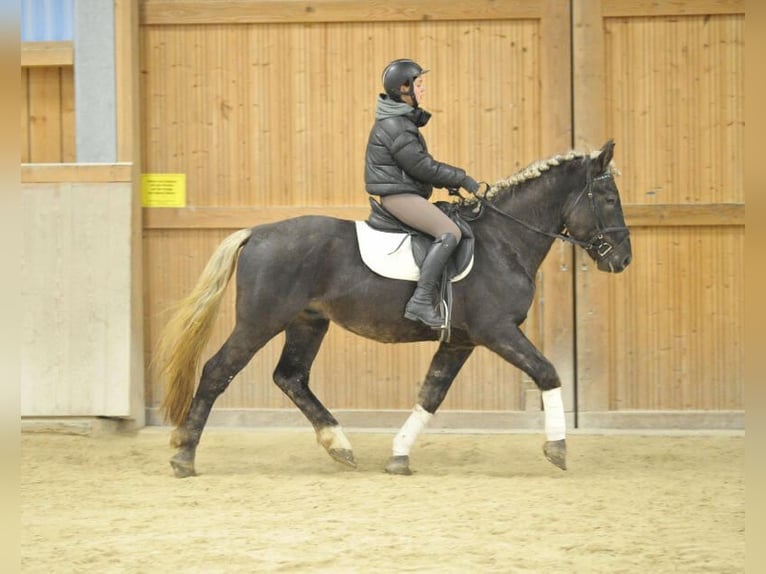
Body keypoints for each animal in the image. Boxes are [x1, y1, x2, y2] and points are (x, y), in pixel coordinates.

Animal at [159, 141, 632, 482]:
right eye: (608, 198)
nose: (622, 260)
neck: (503, 240)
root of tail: (256, 232)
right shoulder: (496, 331)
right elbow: (547, 372)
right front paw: (558, 448)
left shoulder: (460, 341)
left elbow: (431, 394)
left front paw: (399, 455)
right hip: (260, 321)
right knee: (218, 371)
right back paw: (184, 456)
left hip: (307, 323)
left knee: (290, 377)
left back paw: (339, 445)